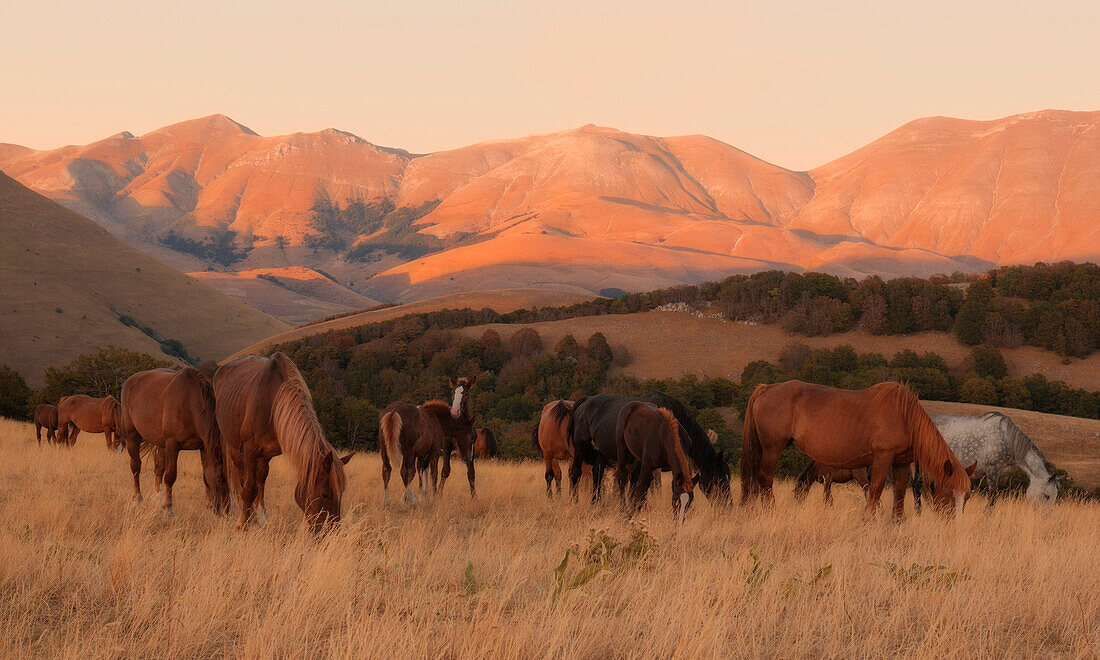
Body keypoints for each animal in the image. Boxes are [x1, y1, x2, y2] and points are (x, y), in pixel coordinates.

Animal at [117, 365, 229, 514]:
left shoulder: (203, 446)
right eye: (220, 479)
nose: (226, 510)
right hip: (132, 437)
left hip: (160, 443)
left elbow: (205, 475)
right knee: (136, 467)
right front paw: (168, 508)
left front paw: (208, 505)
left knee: (158, 468)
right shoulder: (172, 445)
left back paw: (157, 499)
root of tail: (129, 382)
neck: (189, 403)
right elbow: (170, 476)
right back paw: (138, 500)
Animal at [214, 354, 352, 534]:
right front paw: (242, 525)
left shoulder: (266, 454)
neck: (273, 400)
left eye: (342, 493)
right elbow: (249, 489)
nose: (331, 532)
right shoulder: (250, 449)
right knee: (242, 478)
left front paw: (261, 521)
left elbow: (259, 486)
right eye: (325, 494)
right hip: (233, 446)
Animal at [567, 391, 730, 506]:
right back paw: (574, 502)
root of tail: (586, 400)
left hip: (602, 450)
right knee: (575, 473)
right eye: (720, 479)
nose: (728, 505)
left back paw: (595, 502)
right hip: (581, 446)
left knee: (597, 473)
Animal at [739, 380, 972, 521]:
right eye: (949, 493)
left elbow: (898, 491)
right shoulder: (883, 457)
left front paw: (898, 521)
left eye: (967, 496)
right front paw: (868, 519)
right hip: (772, 448)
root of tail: (767, 388)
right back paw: (770, 511)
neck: (905, 416)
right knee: (765, 479)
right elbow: (876, 489)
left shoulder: (901, 461)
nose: (956, 524)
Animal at [910, 413, 1064, 510]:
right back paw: (919, 513)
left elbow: (995, 499)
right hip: (922, 465)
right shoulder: (992, 473)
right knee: (917, 486)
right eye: (1047, 496)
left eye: (1054, 497)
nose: (1045, 518)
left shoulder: (1003, 477)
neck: (1008, 441)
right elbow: (991, 499)